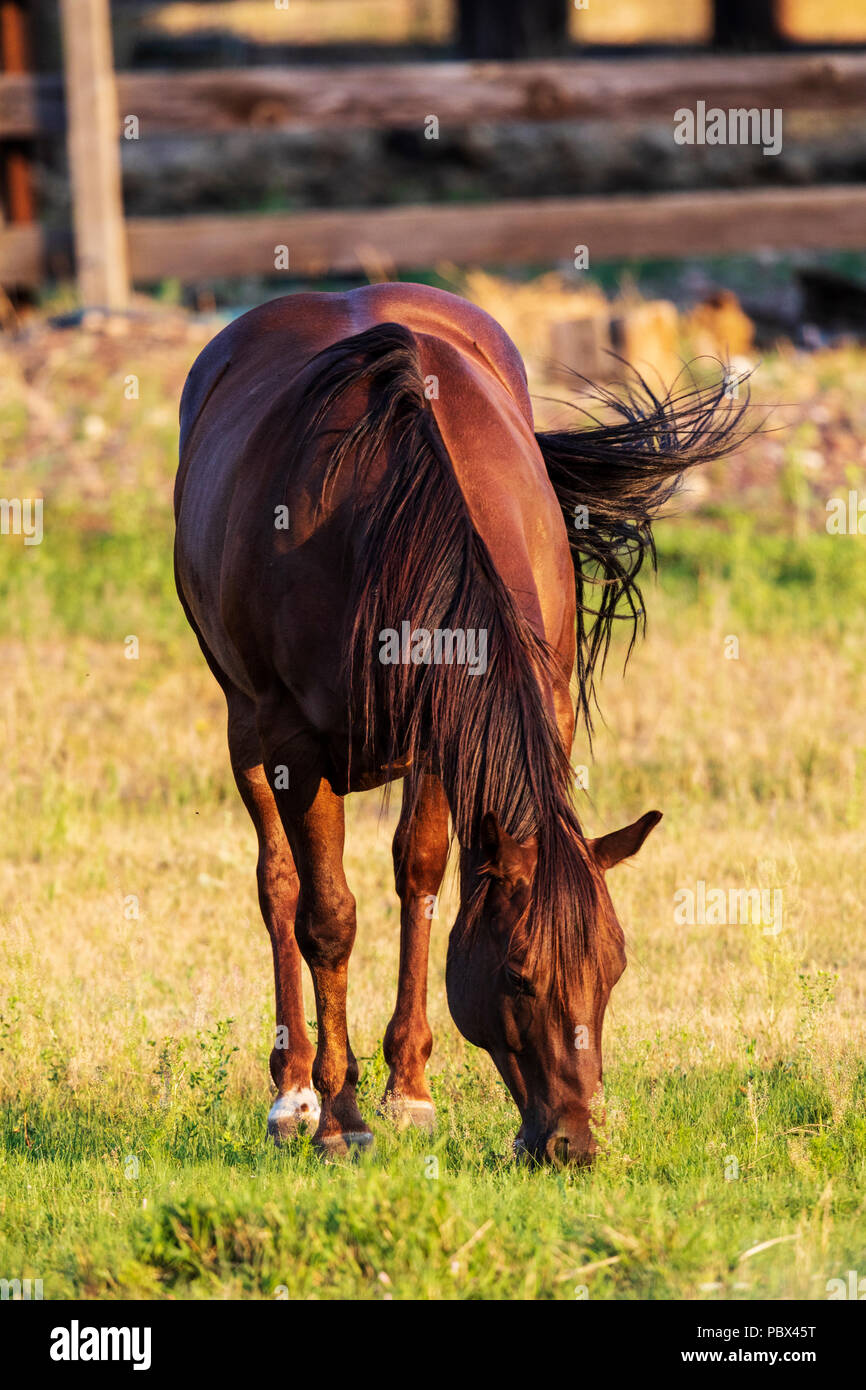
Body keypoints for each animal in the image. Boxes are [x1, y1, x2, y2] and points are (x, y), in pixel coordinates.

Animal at [174, 282, 746, 1163]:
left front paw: (407, 1090)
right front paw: (340, 1119)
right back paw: (295, 1092)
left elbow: (423, 873)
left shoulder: (450, 731)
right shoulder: (297, 745)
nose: (573, 1144)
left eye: (614, 971)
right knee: (277, 886)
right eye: (517, 975)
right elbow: (326, 919)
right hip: (243, 722)